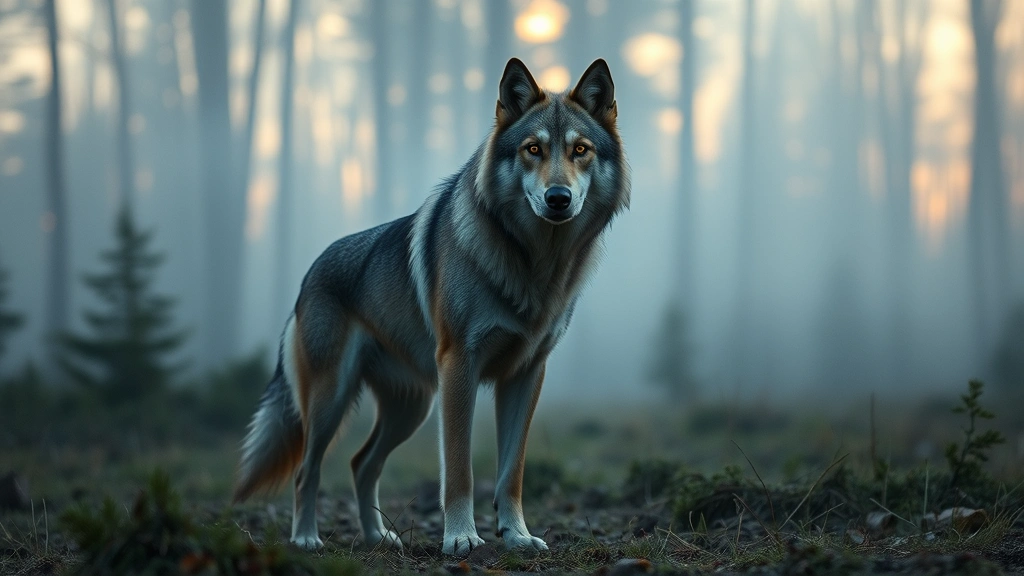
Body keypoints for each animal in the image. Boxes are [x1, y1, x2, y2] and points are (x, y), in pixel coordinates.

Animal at [232, 57, 630, 556]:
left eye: (580, 150)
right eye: (533, 149)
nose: (558, 198)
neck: (534, 263)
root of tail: (309, 275)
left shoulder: (526, 375)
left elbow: (511, 473)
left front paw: (517, 536)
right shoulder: (459, 366)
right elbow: (459, 469)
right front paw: (461, 538)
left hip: (410, 409)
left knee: (362, 463)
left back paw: (379, 538)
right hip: (332, 402)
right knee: (309, 470)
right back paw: (306, 539)